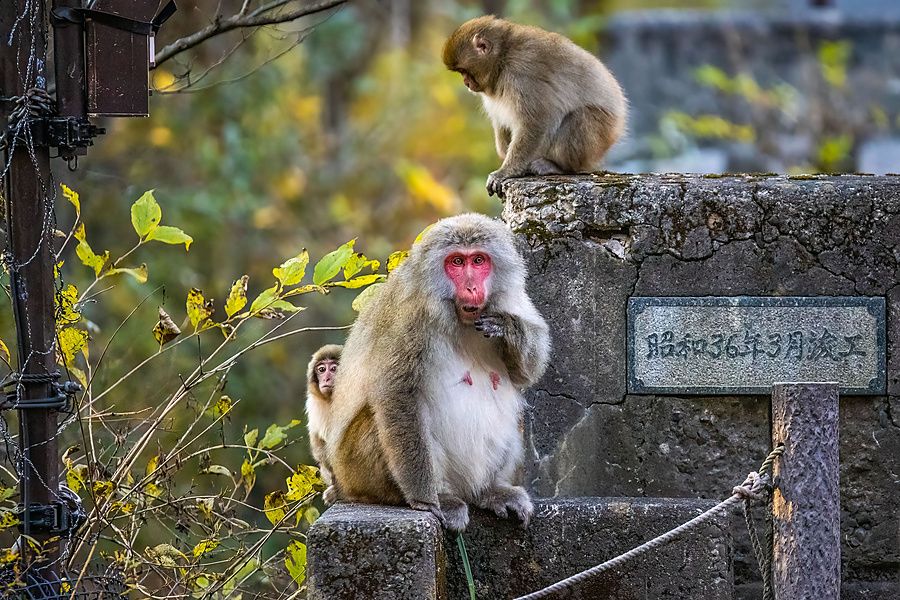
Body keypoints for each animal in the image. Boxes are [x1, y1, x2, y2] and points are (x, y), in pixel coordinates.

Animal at [326, 213, 550, 531]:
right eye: (456, 262)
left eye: (478, 260)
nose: (471, 288)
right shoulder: (410, 317)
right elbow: (396, 393)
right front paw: (425, 500)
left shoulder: (510, 299)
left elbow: (526, 373)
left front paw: (508, 328)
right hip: (355, 470)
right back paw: (437, 497)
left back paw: (489, 491)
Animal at [442, 16, 628, 197]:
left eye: (463, 71)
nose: (466, 83)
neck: (503, 57)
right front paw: (505, 155)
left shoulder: (521, 74)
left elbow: (535, 122)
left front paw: (505, 171)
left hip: (603, 134)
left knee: (581, 116)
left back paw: (559, 166)